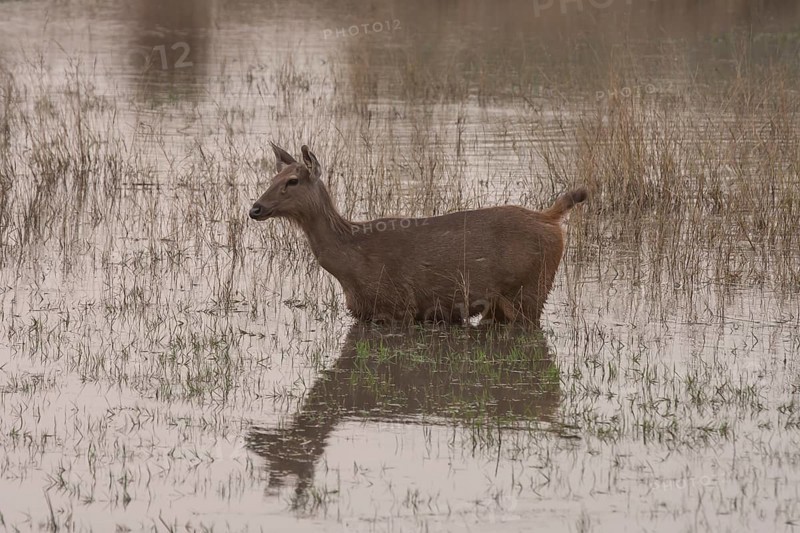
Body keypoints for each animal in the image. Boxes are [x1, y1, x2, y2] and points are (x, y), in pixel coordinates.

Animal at [249, 143, 587, 327]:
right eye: (272, 177)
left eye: (292, 180)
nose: (255, 208)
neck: (351, 260)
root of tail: (550, 218)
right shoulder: (364, 312)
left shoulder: (397, 306)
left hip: (530, 290)